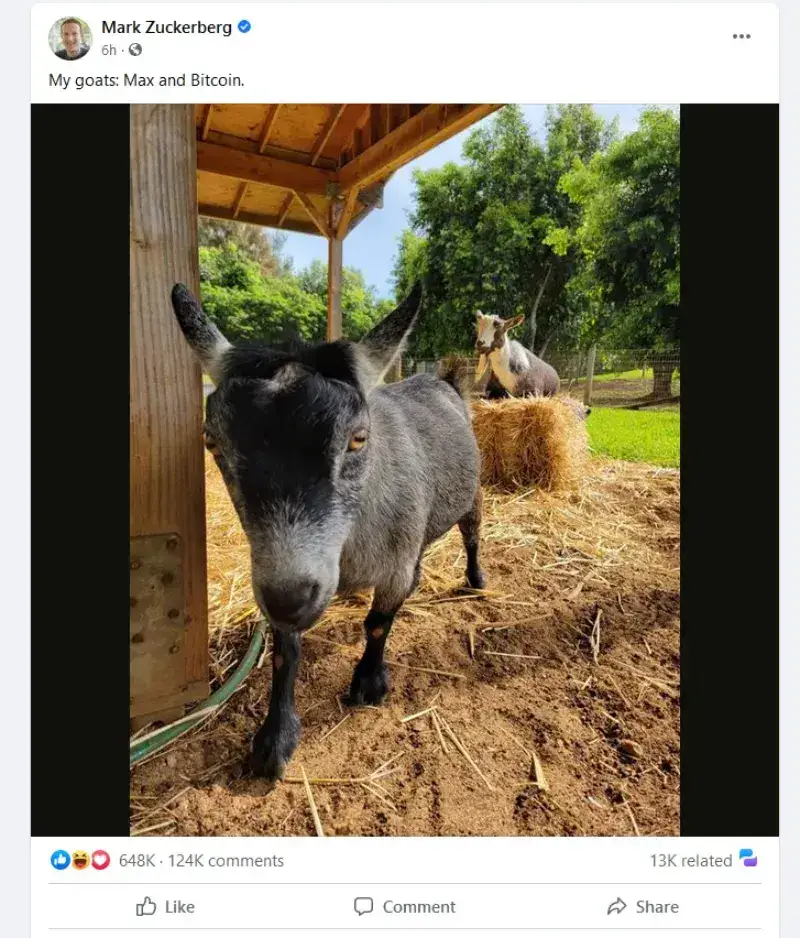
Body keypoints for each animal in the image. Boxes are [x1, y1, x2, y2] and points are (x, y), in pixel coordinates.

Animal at [170, 282, 486, 780]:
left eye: (358, 438)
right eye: (212, 442)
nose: (290, 597)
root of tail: (446, 380)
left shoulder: (390, 564)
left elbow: (378, 623)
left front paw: (369, 684)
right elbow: (285, 651)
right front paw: (275, 739)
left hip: (471, 493)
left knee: (472, 531)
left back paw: (476, 579)